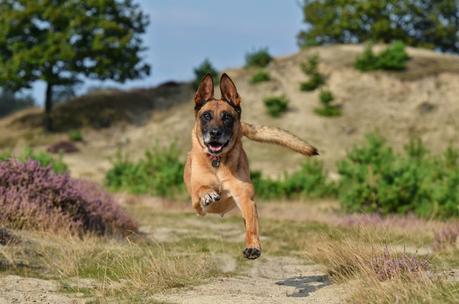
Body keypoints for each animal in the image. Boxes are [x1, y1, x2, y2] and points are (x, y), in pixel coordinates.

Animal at [182, 73, 316, 258]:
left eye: (226, 117)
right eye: (206, 116)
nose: (215, 133)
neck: (217, 162)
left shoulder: (246, 199)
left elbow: (251, 226)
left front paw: (253, 246)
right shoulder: (196, 202)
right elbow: (201, 189)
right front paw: (208, 193)